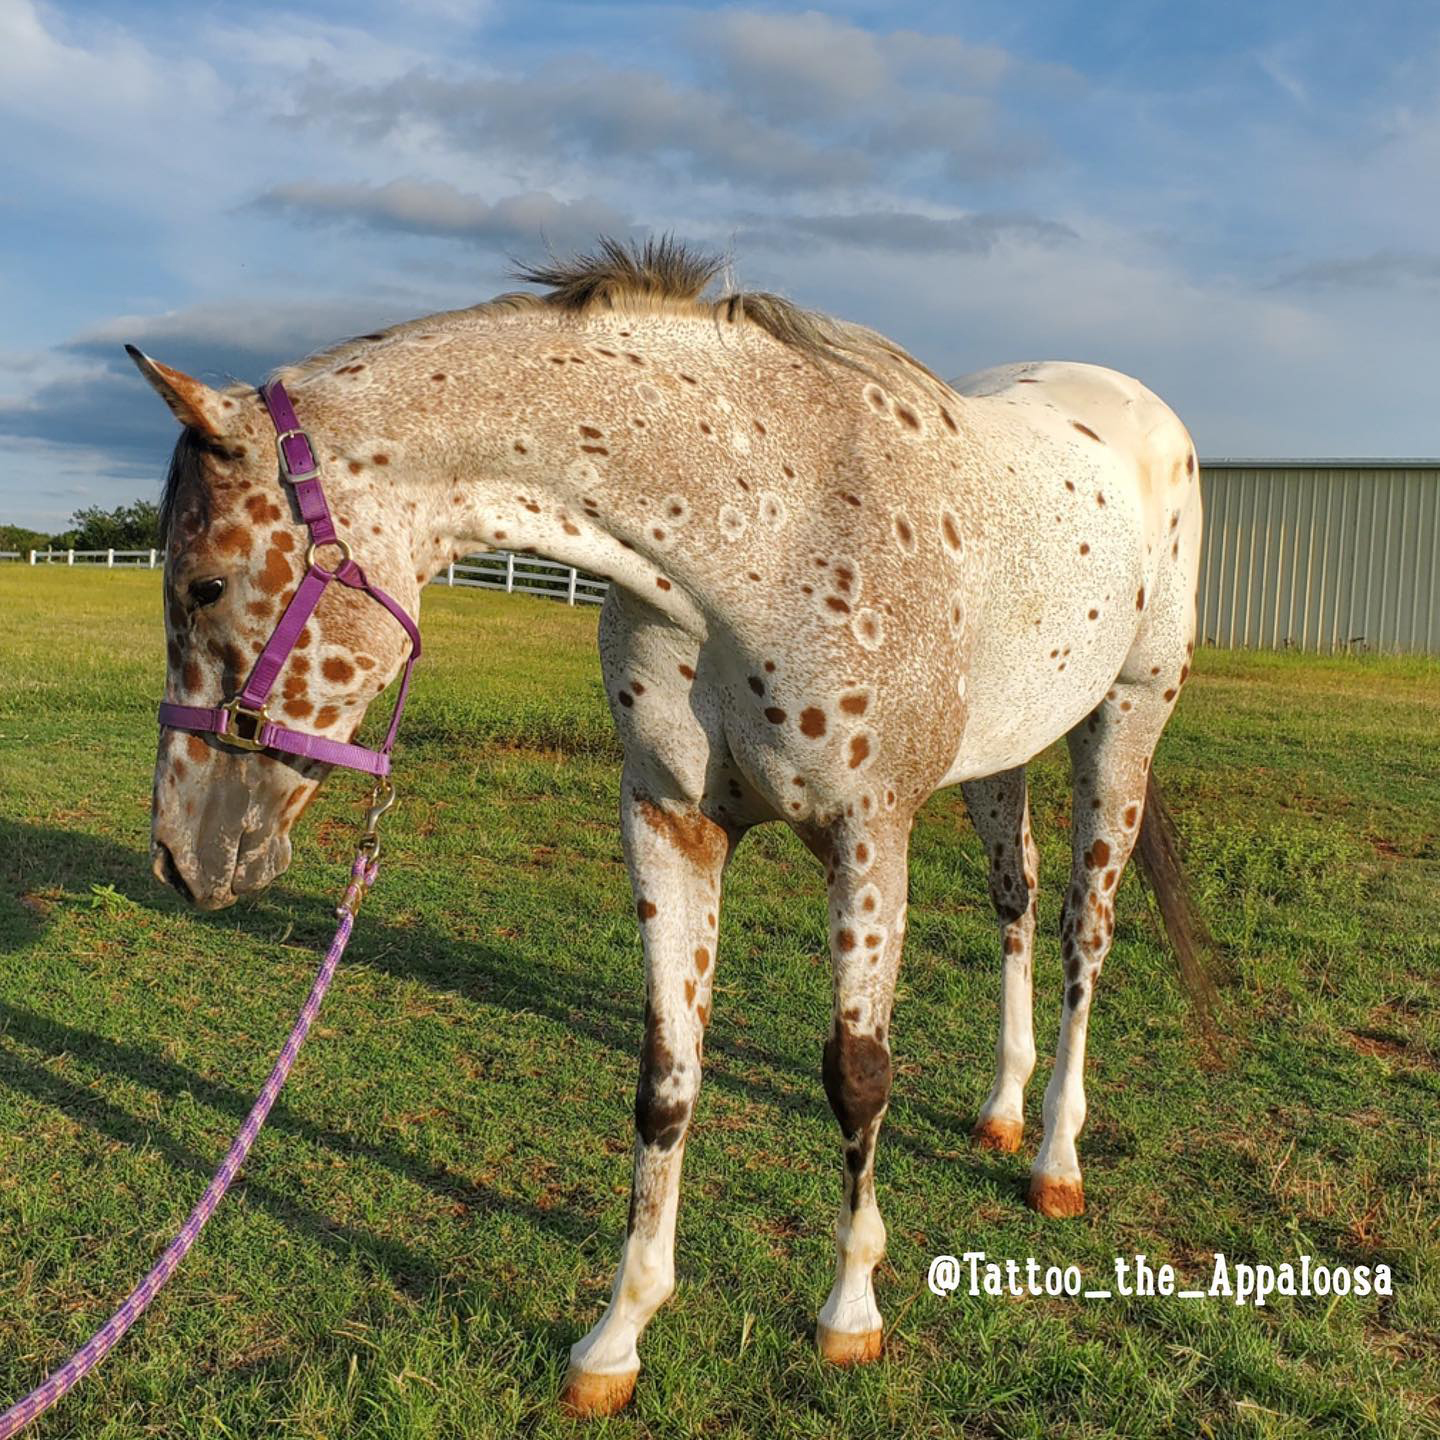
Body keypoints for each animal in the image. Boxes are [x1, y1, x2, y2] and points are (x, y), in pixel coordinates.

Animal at [137, 239, 1215, 1416]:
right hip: (1003, 755)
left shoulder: (868, 834)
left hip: (1126, 721)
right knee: (1014, 899)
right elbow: (666, 1077)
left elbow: (858, 1074)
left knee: (1082, 931)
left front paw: (850, 1314)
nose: (182, 855)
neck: (765, 530)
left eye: (204, 583)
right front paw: (617, 1334)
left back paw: (1056, 1159)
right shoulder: (668, 820)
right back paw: (1003, 1108)